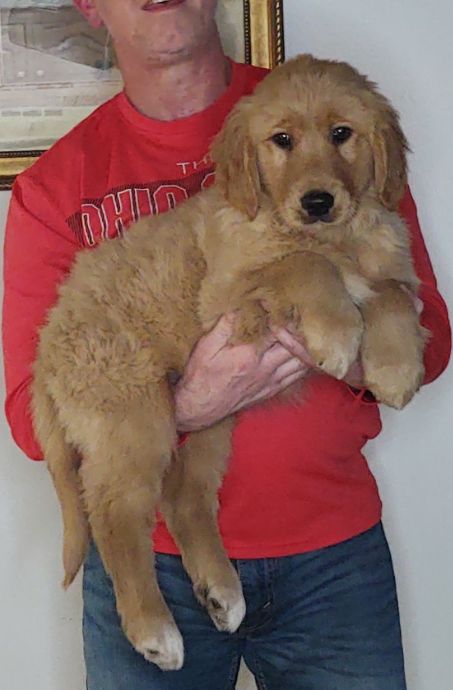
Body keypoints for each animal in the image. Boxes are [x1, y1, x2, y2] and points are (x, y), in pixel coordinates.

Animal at [33, 56, 426, 668]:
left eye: (342, 133)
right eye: (282, 141)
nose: (318, 201)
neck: (333, 233)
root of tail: (48, 342)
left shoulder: (382, 265)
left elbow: (391, 294)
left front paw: (395, 367)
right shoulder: (226, 296)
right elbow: (306, 265)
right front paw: (338, 333)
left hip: (213, 421)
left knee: (183, 495)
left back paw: (222, 592)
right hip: (135, 415)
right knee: (114, 512)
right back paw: (155, 630)